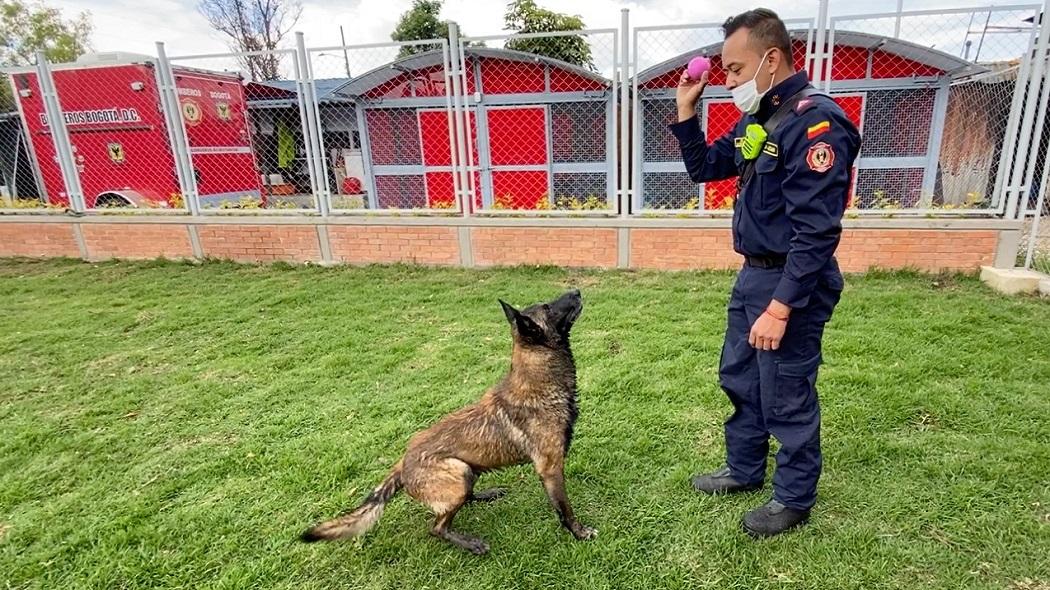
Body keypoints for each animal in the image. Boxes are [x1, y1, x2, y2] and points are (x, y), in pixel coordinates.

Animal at [300, 287, 596, 554]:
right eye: (548, 307)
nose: (577, 290)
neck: (539, 382)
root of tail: (403, 461)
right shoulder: (550, 468)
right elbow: (565, 509)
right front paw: (579, 533)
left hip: (467, 470)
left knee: (465, 499)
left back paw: (486, 494)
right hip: (457, 475)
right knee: (437, 527)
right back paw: (470, 543)